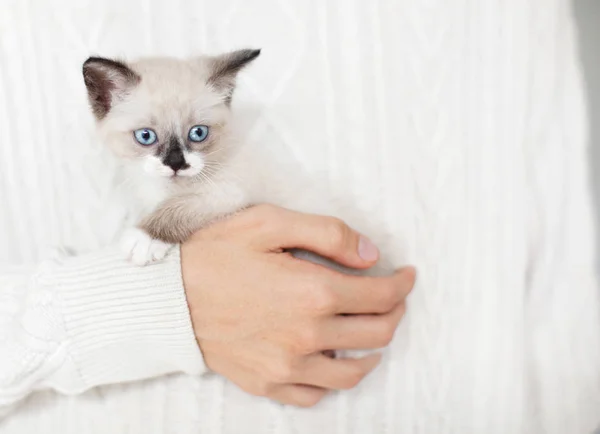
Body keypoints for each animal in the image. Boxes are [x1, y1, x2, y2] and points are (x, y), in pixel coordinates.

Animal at [79, 50, 398, 274]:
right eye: (146, 136)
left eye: (198, 133)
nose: (176, 164)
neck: (166, 188)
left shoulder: (225, 194)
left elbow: (176, 209)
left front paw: (143, 239)